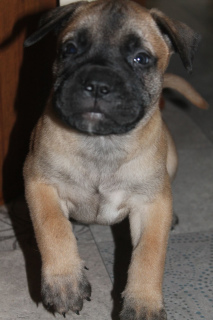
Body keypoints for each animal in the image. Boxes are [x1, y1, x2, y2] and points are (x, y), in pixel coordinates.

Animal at [23, 1, 201, 318]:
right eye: (69, 49)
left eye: (141, 58)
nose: (97, 84)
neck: (102, 143)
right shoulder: (39, 180)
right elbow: (52, 225)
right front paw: (64, 281)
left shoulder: (151, 203)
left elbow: (149, 253)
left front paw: (143, 302)